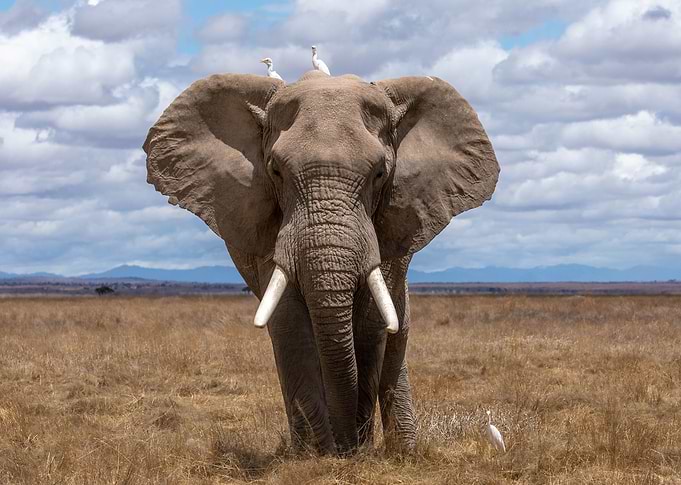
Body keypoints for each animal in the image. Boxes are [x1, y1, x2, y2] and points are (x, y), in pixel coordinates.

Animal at [143, 70, 499, 455]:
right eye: (276, 171)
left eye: (380, 173)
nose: (347, 447)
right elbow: (289, 322)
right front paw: (317, 455)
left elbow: (371, 323)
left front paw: (355, 451)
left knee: (396, 335)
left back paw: (403, 450)